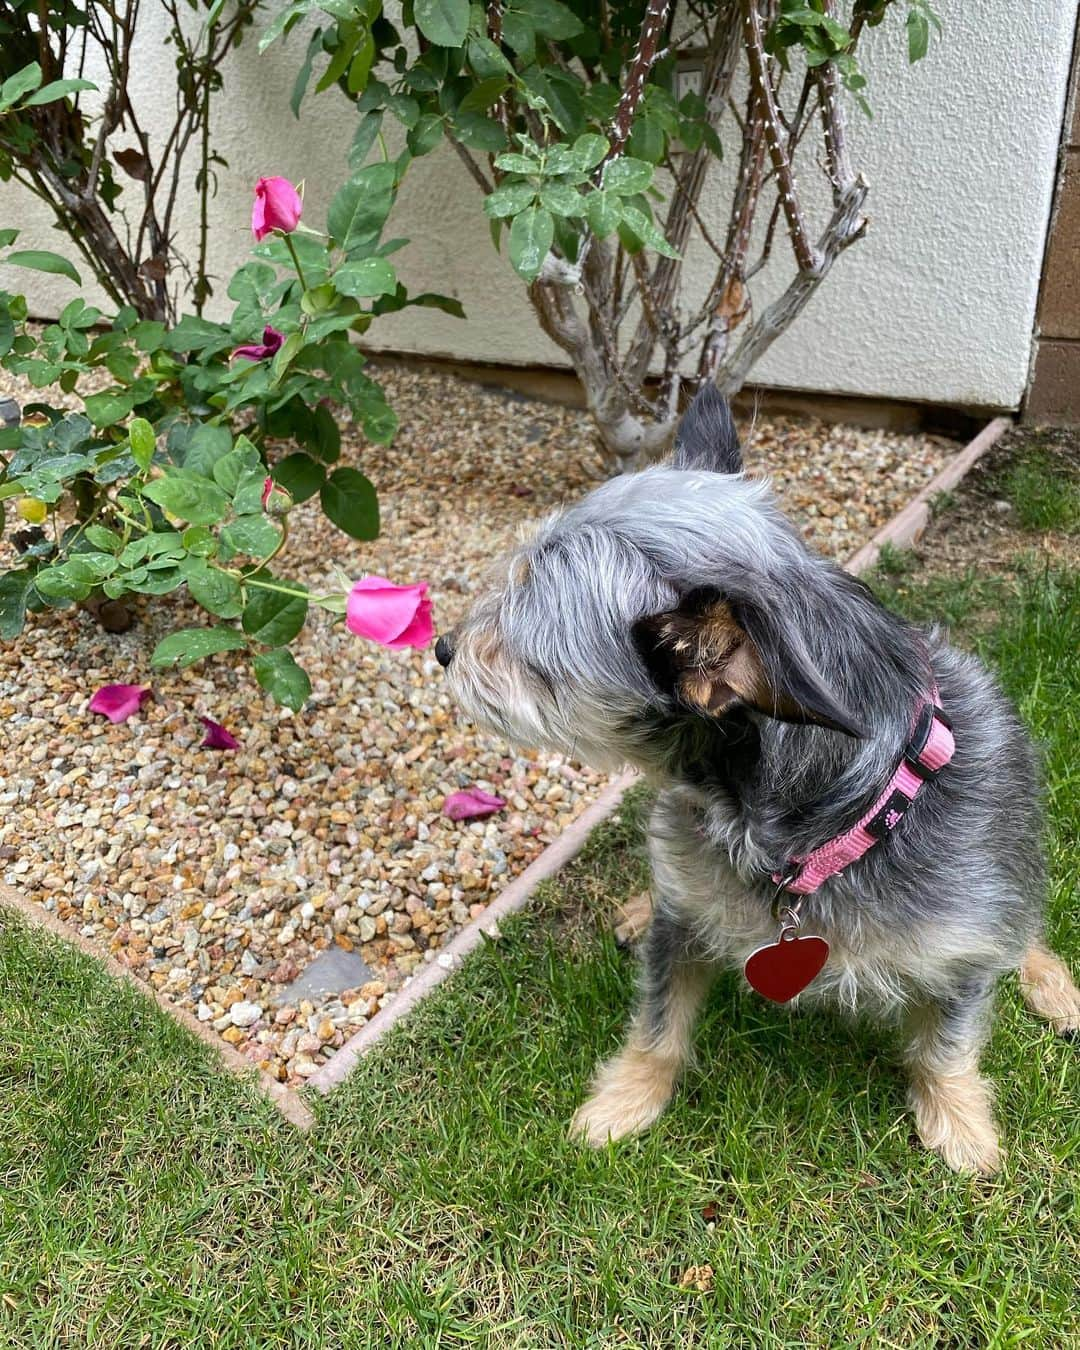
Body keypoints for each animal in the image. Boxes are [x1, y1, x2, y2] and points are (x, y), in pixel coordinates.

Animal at [434, 383, 1074, 1171]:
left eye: (524, 651)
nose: (443, 647)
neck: (826, 829)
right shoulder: (682, 922)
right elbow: (658, 1023)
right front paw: (626, 1100)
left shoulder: (963, 951)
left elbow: (945, 1048)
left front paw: (960, 1127)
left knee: (1025, 926)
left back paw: (1053, 985)